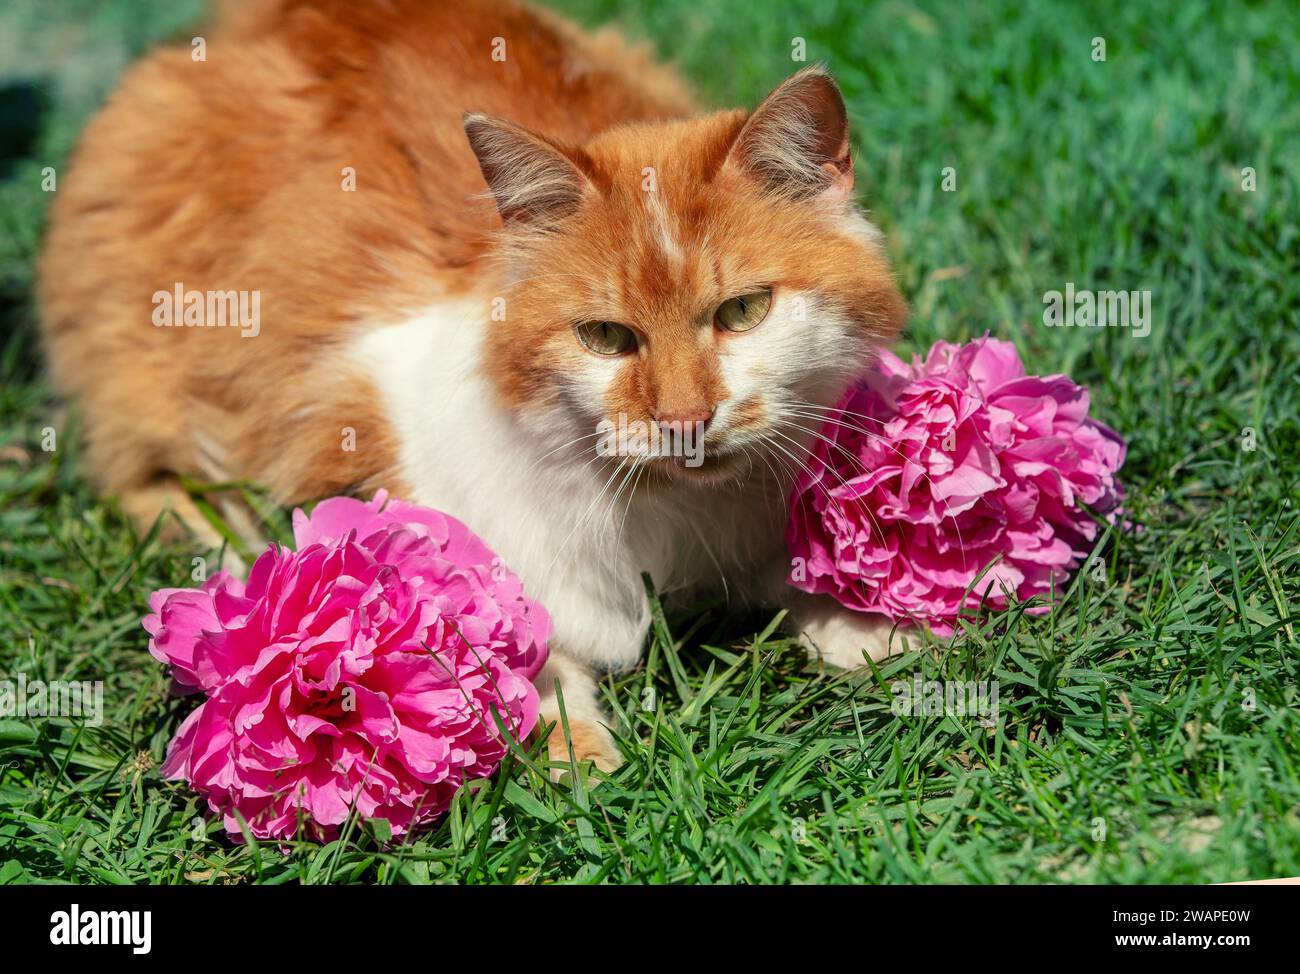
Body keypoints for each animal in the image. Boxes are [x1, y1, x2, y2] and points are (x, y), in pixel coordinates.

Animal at [43, 0, 915, 775]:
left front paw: (867, 629)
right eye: (606, 337)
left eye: (742, 311)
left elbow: (798, 577)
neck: (671, 514)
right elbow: (510, 651)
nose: (684, 418)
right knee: (155, 486)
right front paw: (574, 755)